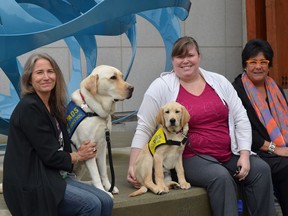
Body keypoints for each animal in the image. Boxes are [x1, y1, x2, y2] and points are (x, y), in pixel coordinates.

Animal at [67, 64, 134, 197]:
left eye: (122, 76)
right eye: (113, 77)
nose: (132, 88)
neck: (95, 112)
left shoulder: (103, 147)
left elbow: (103, 171)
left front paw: (108, 187)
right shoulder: (89, 149)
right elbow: (96, 174)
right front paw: (102, 191)